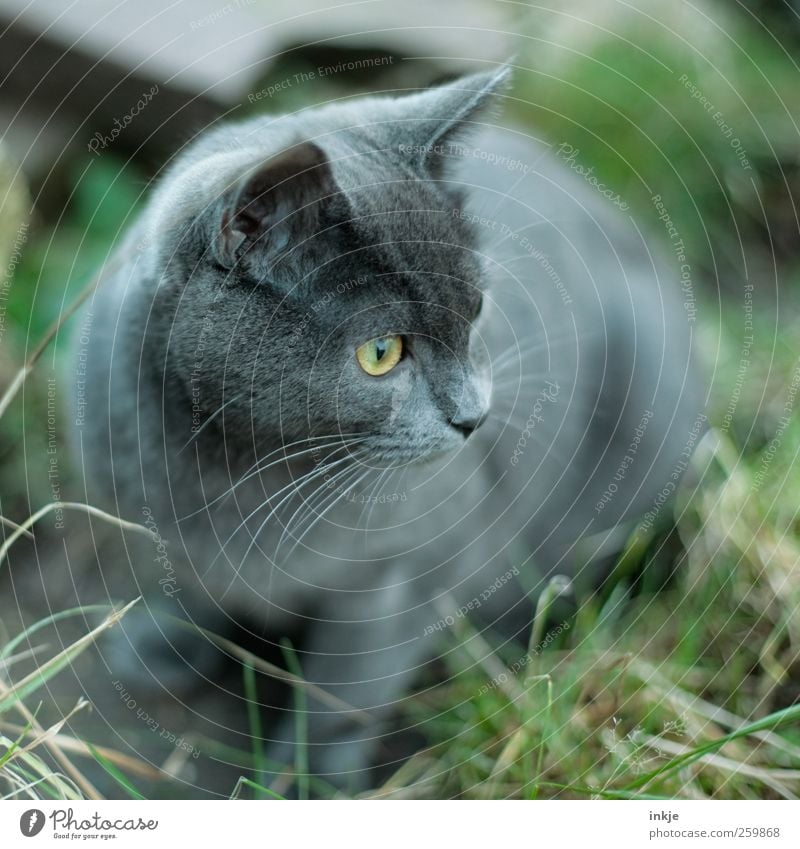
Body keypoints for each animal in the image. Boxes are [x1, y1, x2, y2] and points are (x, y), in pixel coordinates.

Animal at [72, 69, 704, 792]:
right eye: (381, 352)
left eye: (475, 311)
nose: (474, 416)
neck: (235, 467)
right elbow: (202, 590)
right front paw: (168, 643)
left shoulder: (400, 578)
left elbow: (342, 695)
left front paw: (306, 785)